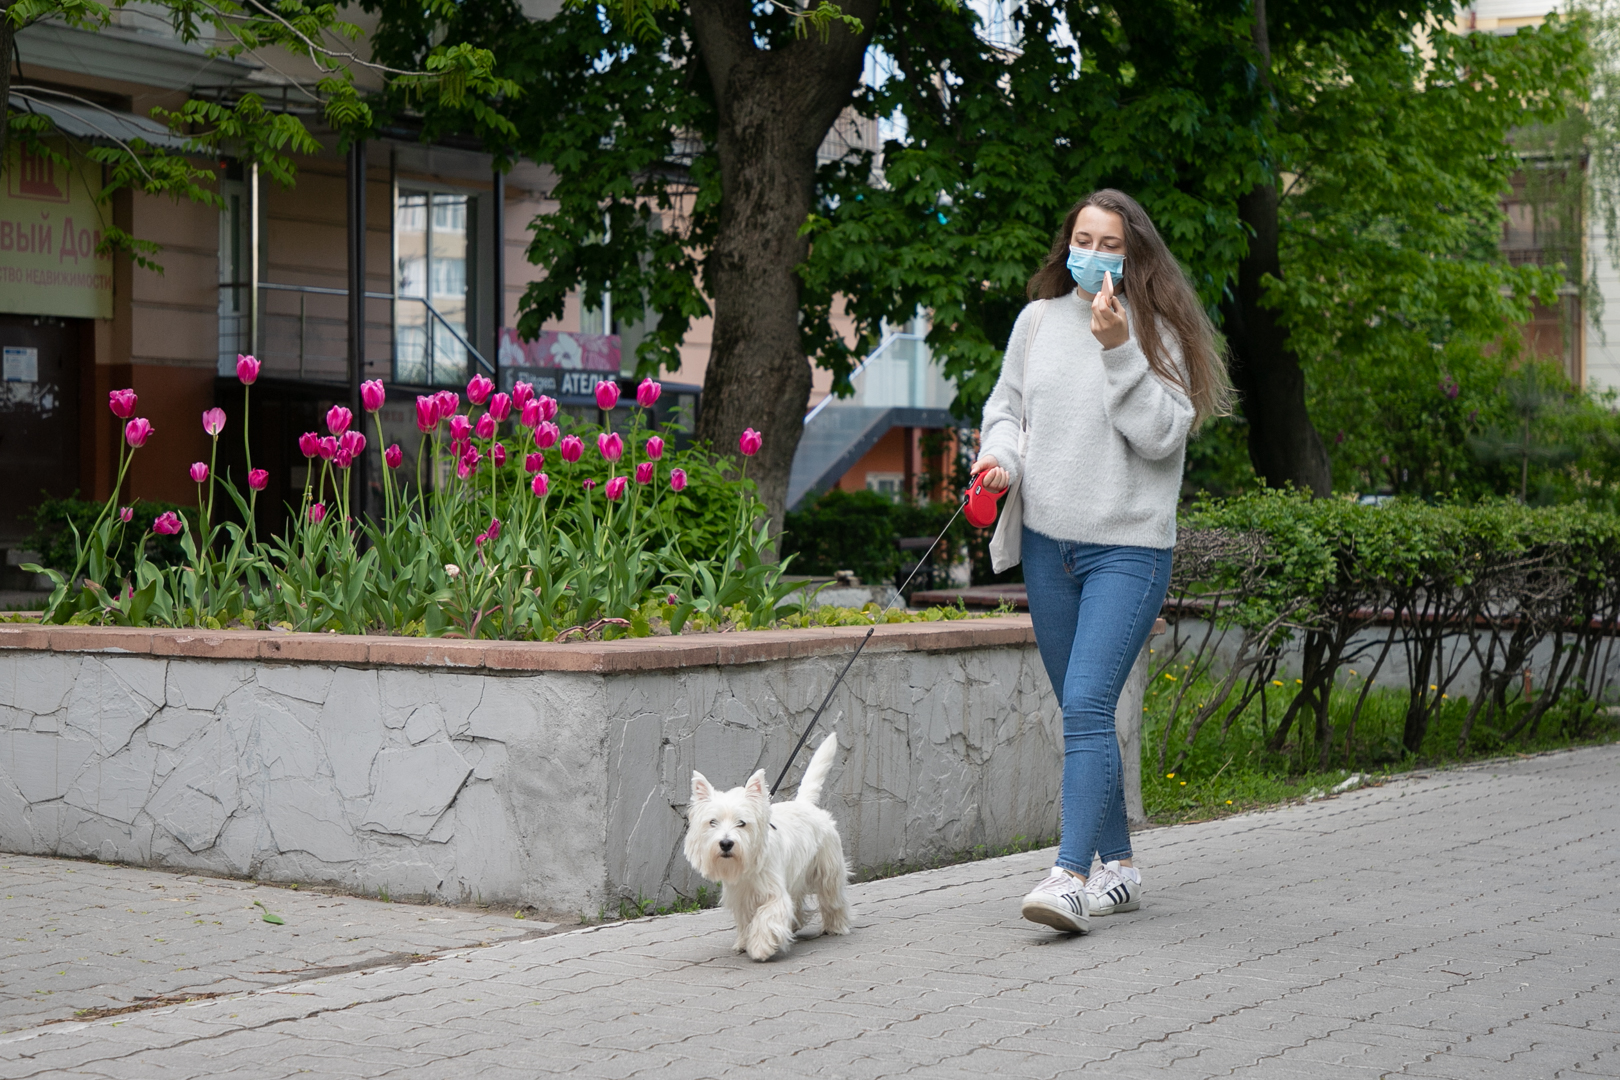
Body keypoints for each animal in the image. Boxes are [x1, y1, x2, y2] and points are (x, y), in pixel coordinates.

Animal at [683, 735, 855, 965]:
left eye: (742, 823)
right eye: (712, 822)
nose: (726, 843)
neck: (746, 866)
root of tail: (806, 804)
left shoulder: (773, 893)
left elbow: (767, 917)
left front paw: (760, 947)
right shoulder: (741, 896)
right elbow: (746, 921)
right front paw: (744, 942)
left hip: (828, 869)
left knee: (833, 898)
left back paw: (836, 926)